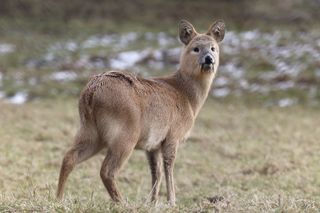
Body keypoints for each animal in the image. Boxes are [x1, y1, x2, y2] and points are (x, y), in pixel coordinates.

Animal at [57, 19, 226, 205]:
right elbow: (168, 167)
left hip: (90, 130)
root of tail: (91, 92)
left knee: (69, 157)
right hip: (124, 133)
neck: (187, 96)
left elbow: (156, 172)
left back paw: (59, 198)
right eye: (195, 48)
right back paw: (122, 203)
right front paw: (171, 201)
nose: (209, 59)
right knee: (107, 170)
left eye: (213, 48)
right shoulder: (173, 135)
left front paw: (152, 202)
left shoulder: (152, 145)